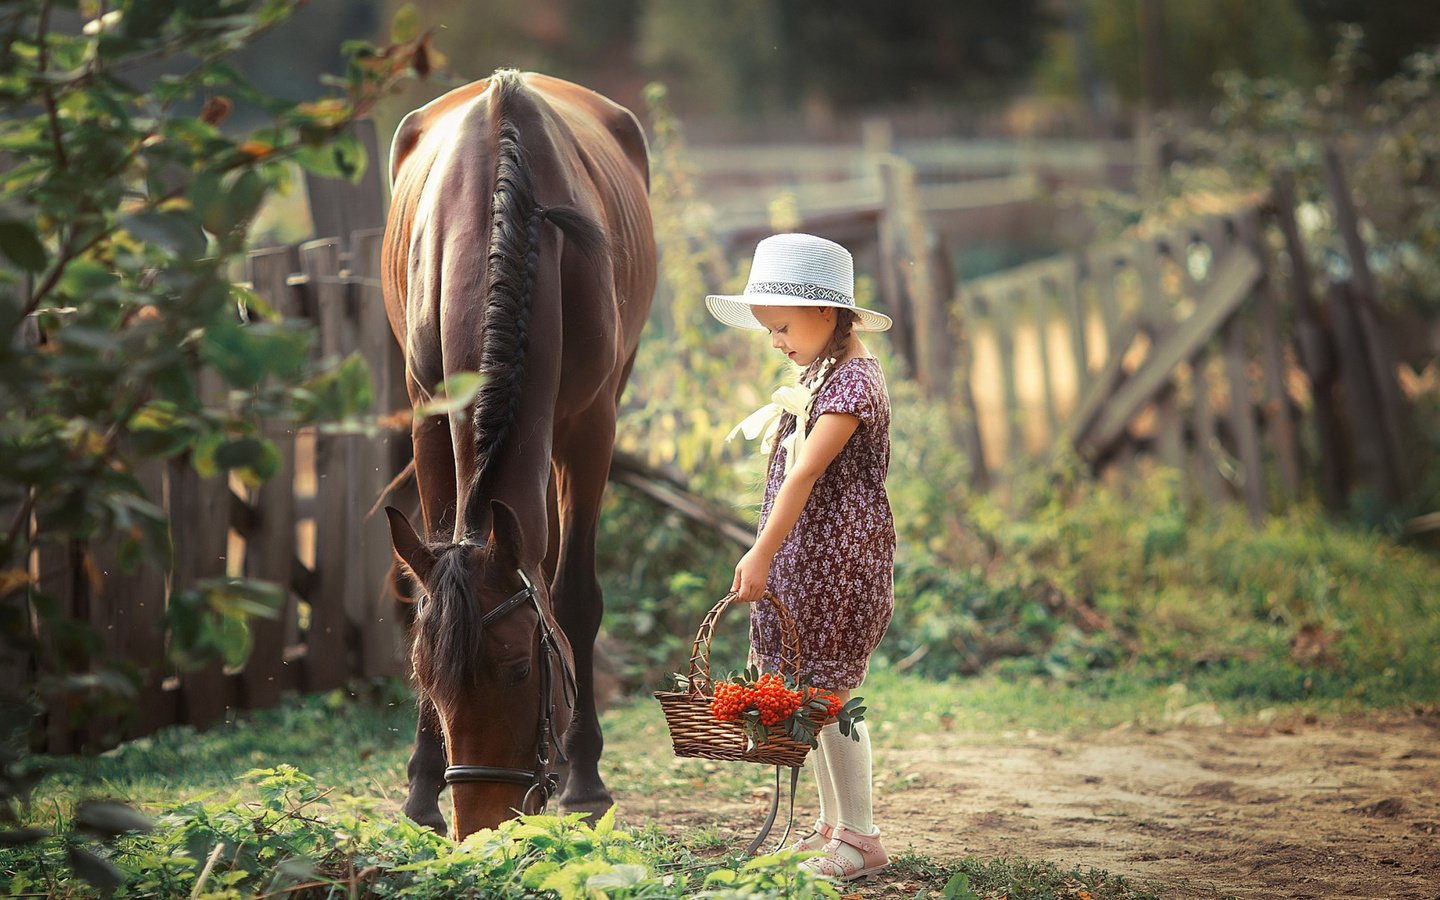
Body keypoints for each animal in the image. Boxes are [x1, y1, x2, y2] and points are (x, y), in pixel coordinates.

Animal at [380, 68, 656, 835]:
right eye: (426, 677)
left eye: (519, 672)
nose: (480, 823)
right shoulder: (428, 415)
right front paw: (422, 786)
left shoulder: (592, 426)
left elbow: (574, 597)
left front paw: (585, 779)